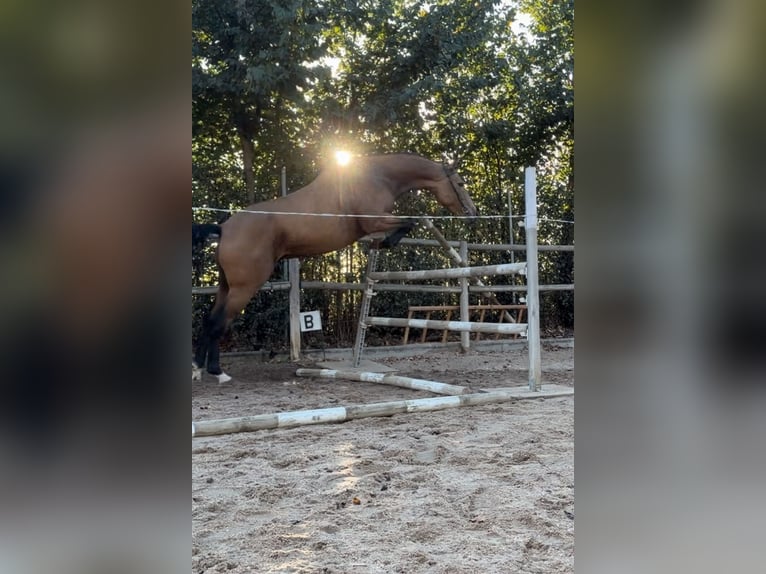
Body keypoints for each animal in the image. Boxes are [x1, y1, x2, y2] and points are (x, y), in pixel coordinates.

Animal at [192, 152, 477, 382]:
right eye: (461, 183)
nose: (473, 213)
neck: (377, 177)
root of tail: (225, 228)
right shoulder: (375, 221)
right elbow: (410, 221)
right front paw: (387, 242)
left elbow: (409, 222)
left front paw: (381, 244)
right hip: (245, 287)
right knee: (218, 322)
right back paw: (217, 372)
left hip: (226, 286)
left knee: (209, 320)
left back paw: (199, 369)